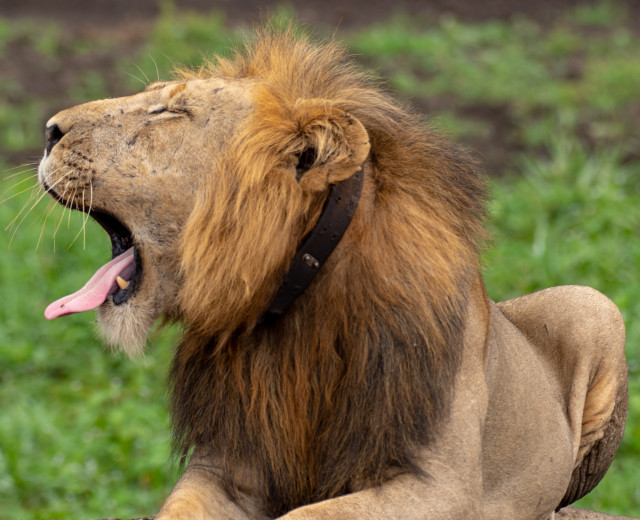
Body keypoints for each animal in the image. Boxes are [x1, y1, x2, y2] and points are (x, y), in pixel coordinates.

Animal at [37, 27, 628, 520]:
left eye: (170, 112)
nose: (47, 130)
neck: (293, 301)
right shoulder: (229, 467)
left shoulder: (444, 484)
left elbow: (307, 515)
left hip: (594, 304)